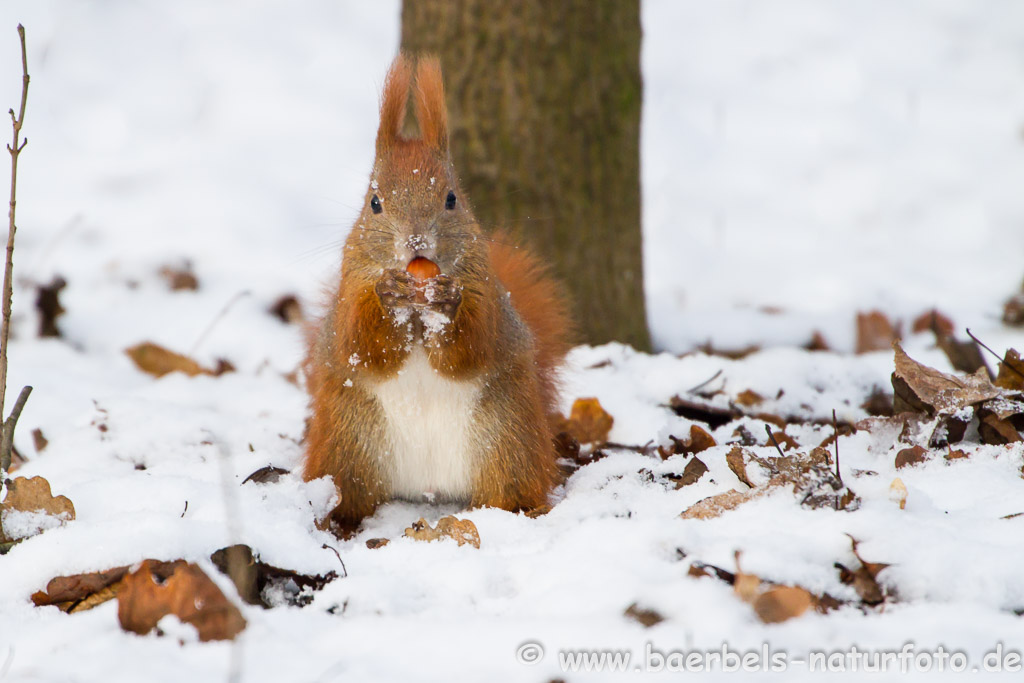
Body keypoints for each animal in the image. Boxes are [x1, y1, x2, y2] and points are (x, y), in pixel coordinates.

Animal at [303, 54, 573, 532]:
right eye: (374, 202)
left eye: (451, 199)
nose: (416, 243)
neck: (418, 307)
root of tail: (427, 488)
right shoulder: (351, 286)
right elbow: (361, 343)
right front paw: (388, 294)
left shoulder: (485, 289)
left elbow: (475, 345)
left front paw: (448, 304)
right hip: (347, 443)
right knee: (349, 492)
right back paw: (339, 519)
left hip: (506, 440)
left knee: (511, 489)